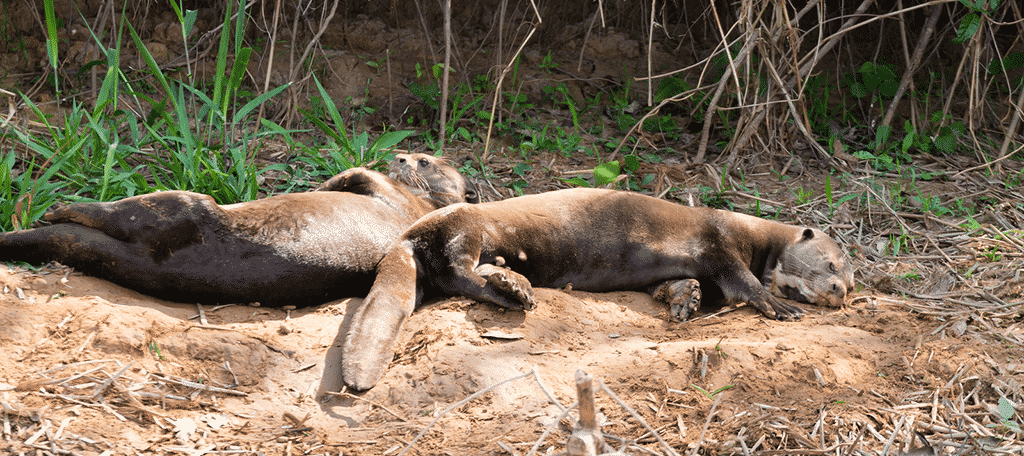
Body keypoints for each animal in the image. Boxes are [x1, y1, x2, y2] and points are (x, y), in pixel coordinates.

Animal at [0, 152, 479, 305]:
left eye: (424, 161)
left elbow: (354, 174)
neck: (423, 206)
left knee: (111, 213)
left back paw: (58, 207)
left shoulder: (390, 193)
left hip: (180, 205)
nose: (399, 155)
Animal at [342, 186, 856, 389]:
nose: (839, 292)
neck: (753, 234)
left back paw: (509, 280)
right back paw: (514, 289)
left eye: (852, 283)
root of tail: (407, 235)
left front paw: (685, 299)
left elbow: (679, 285)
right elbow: (741, 280)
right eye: (832, 263)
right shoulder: (719, 241)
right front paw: (776, 303)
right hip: (465, 225)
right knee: (456, 267)